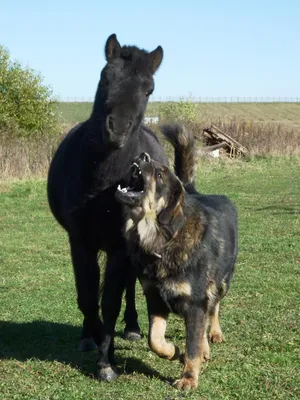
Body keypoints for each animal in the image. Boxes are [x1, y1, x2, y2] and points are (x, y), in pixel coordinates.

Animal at [47, 35, 169, 382]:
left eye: (149, 89)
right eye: (105, 77)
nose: (118, 129)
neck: (103, 182)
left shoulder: (119, 246)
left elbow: (111, 300)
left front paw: (106, 360)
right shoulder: (80, 242)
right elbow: (88, 296)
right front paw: (94, 339)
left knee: (128, 287)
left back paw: (132, 327)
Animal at [115, 123, 237, 390]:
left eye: (160, 175)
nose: (142, 156)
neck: (164, 238)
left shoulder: (195, 302)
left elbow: (192, 343)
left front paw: (189, 377)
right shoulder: (155, 298)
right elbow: (155, 339)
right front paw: (172, 351)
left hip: (221, 283)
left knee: (214, 309)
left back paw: (214, 334)